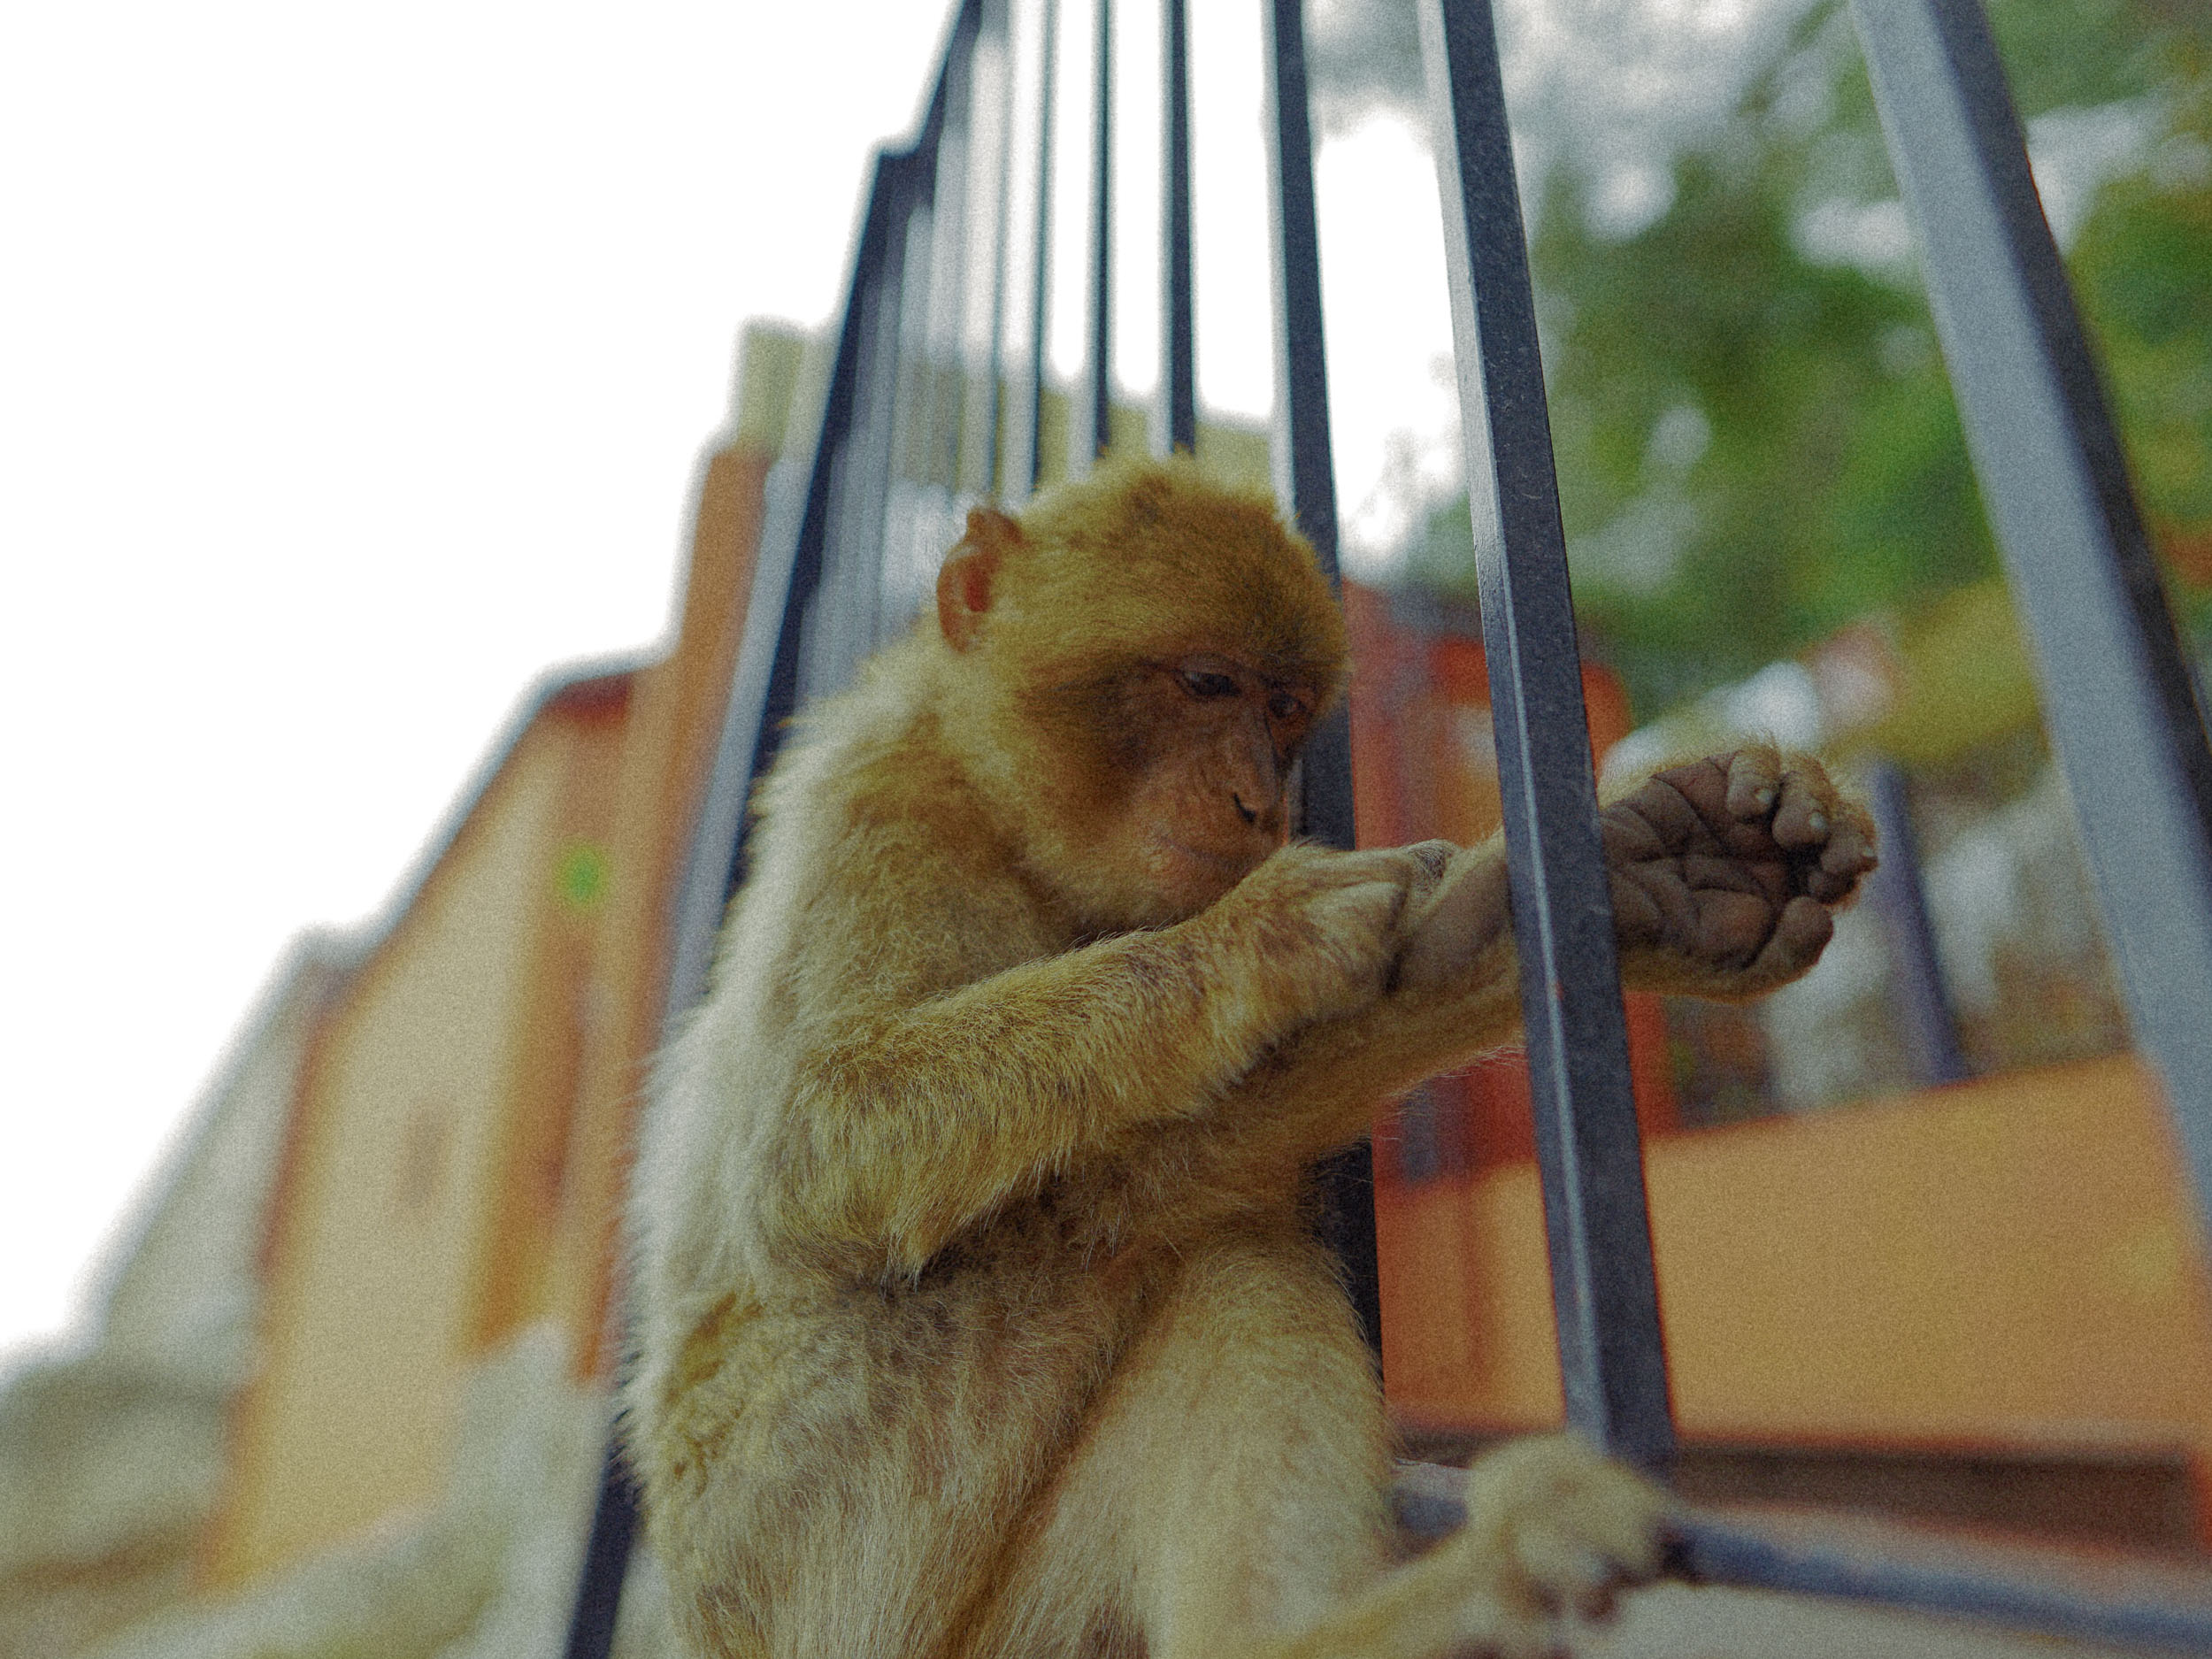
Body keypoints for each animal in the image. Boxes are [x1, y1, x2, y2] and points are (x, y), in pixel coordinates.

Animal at [624, 456, 1867, 1659]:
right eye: (1205, 685)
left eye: (1283, 708)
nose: (1257, 801)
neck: (1011, 833)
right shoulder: (881, 811)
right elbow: (806, 1148)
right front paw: (1254, 944)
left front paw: (1625, 888)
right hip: (836, 1510)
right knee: (1141, 1237)